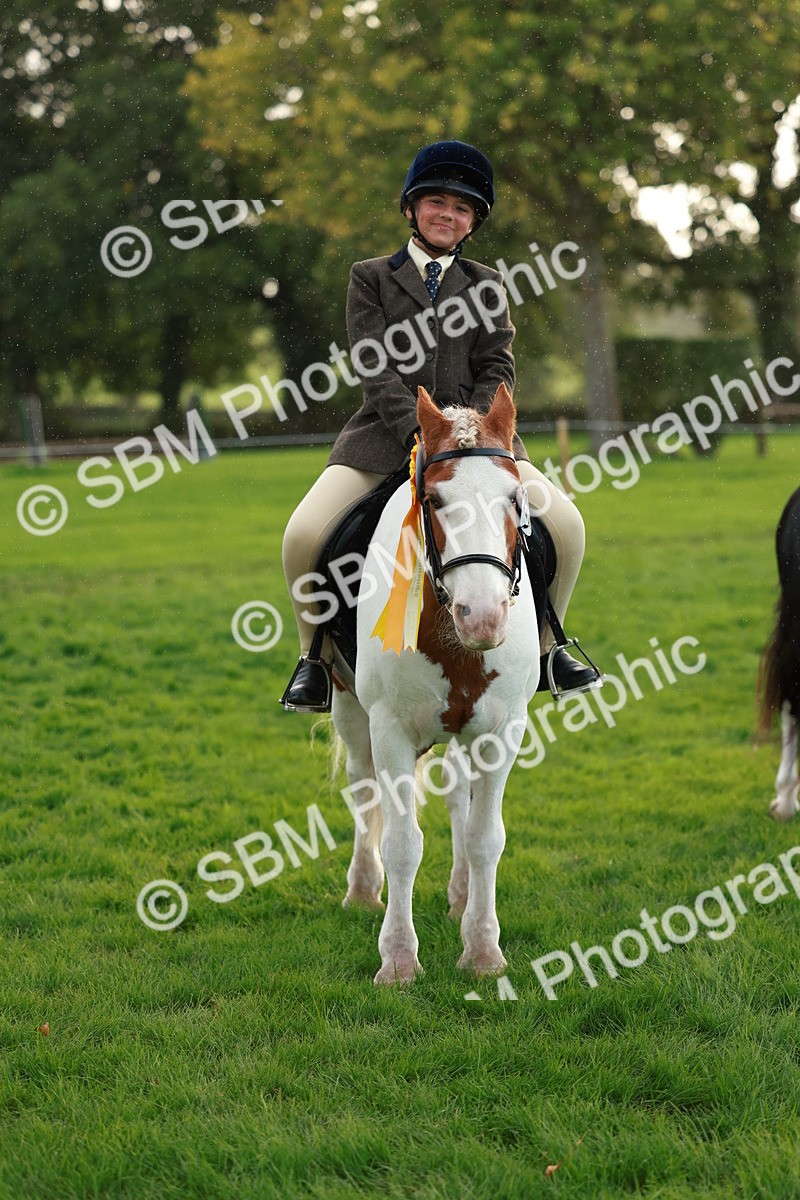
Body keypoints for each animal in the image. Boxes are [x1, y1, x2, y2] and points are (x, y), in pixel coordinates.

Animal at [330, 382, 540, 984]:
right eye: (436, 500)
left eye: (514, 498)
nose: (483, 617)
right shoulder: (391, 729)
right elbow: (402, 843)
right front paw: (399, 960)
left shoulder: (501, 730)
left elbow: (485, 836)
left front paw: (483, 951)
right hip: (349, 708)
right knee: (362, 786)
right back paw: (362, 890)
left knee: (456, 797)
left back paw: (462, 894)